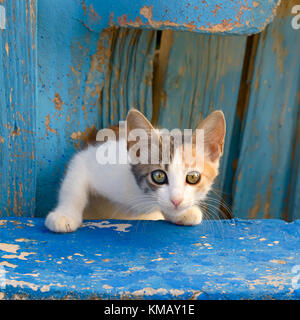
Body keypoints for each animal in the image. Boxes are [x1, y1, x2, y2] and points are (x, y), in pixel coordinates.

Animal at [45, 108, 225, 232]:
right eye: (158, 176)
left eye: (193, 177)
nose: (176, 201)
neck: (142, 197)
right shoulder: (89, 159)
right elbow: (73, 187)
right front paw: (64, 215)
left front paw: (183, 213)